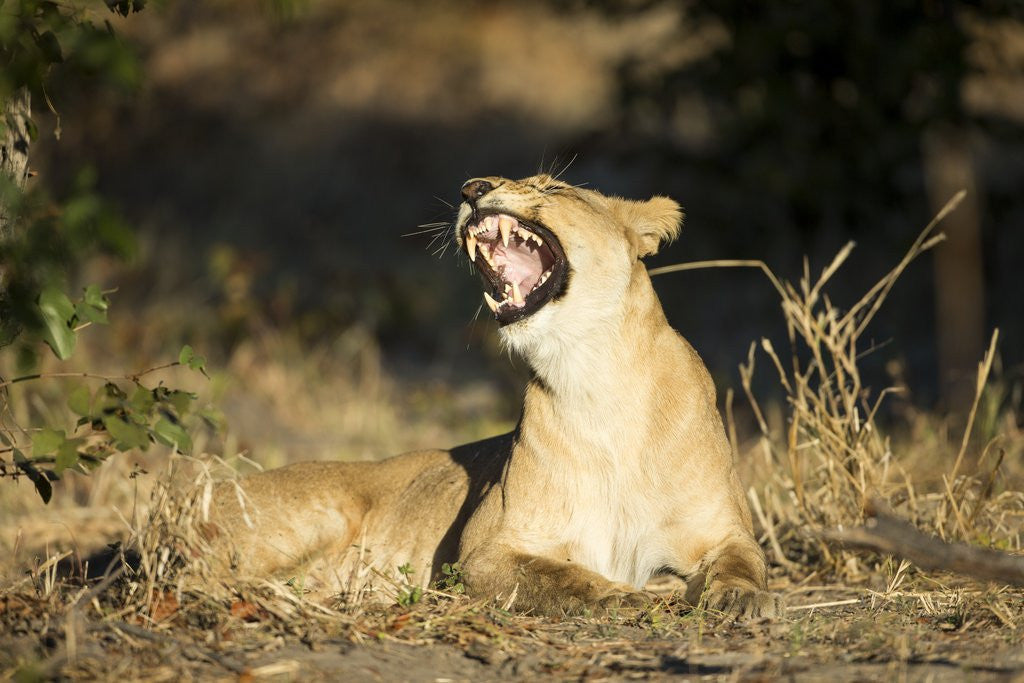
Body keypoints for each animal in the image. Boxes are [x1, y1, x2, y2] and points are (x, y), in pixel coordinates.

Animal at [206, 174, 779, 618]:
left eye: (553, 186)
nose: (471, 188)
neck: (593, 374)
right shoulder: (485, 551)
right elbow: (562, 578)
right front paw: (624, 599)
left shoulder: (721, 529)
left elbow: (744, 562)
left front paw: (740, 599)